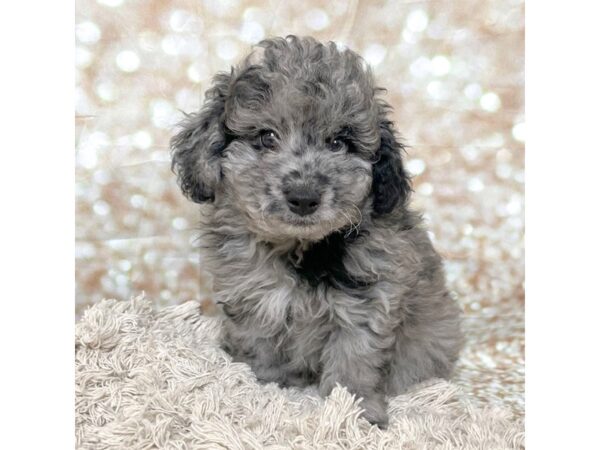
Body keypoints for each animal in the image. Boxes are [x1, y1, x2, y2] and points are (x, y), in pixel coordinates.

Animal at [171, 37, 462, 428]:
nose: (304, 197)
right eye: (266, 137)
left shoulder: (367, 302)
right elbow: (260, 345)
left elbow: (355, 360)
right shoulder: (254, 297)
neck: (301, 246)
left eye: (338, 143)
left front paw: (355, 411)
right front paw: (262, 388)